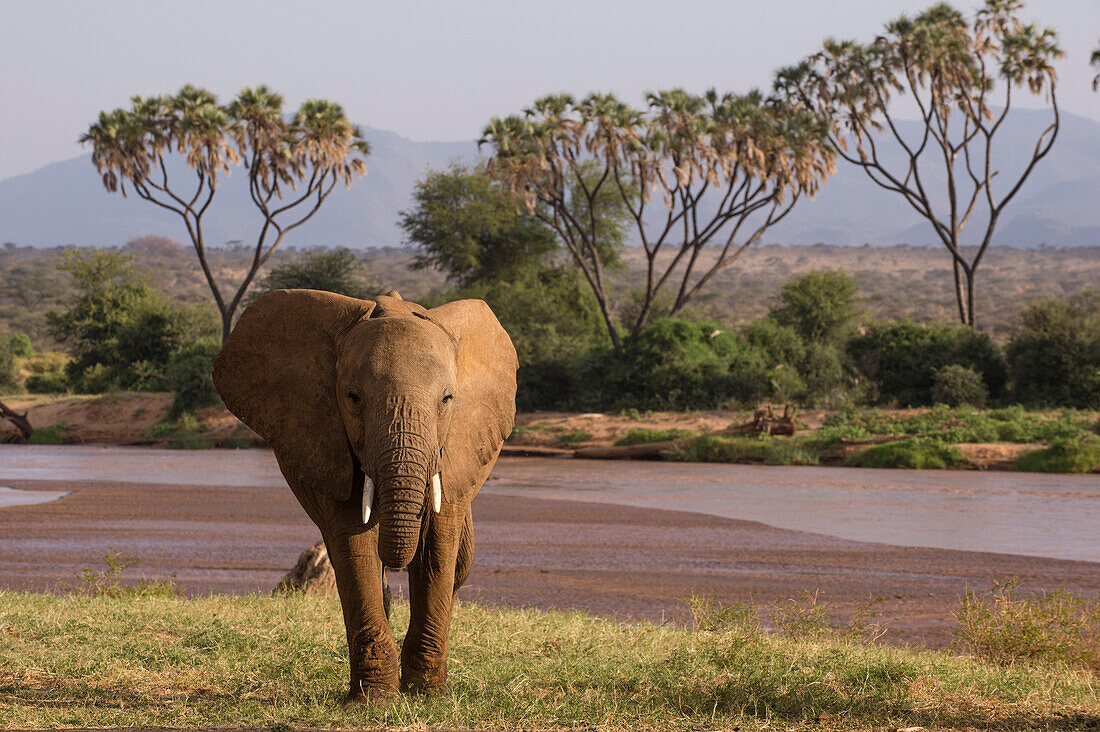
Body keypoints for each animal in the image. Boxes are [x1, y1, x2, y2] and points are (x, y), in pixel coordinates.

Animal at [215, 290, 523, 704]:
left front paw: (426, 695)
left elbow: (436, 547)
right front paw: (373, 702)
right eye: (353, 397)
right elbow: (354, 545)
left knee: (459, 564)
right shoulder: (325, 438)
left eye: (447, 399)